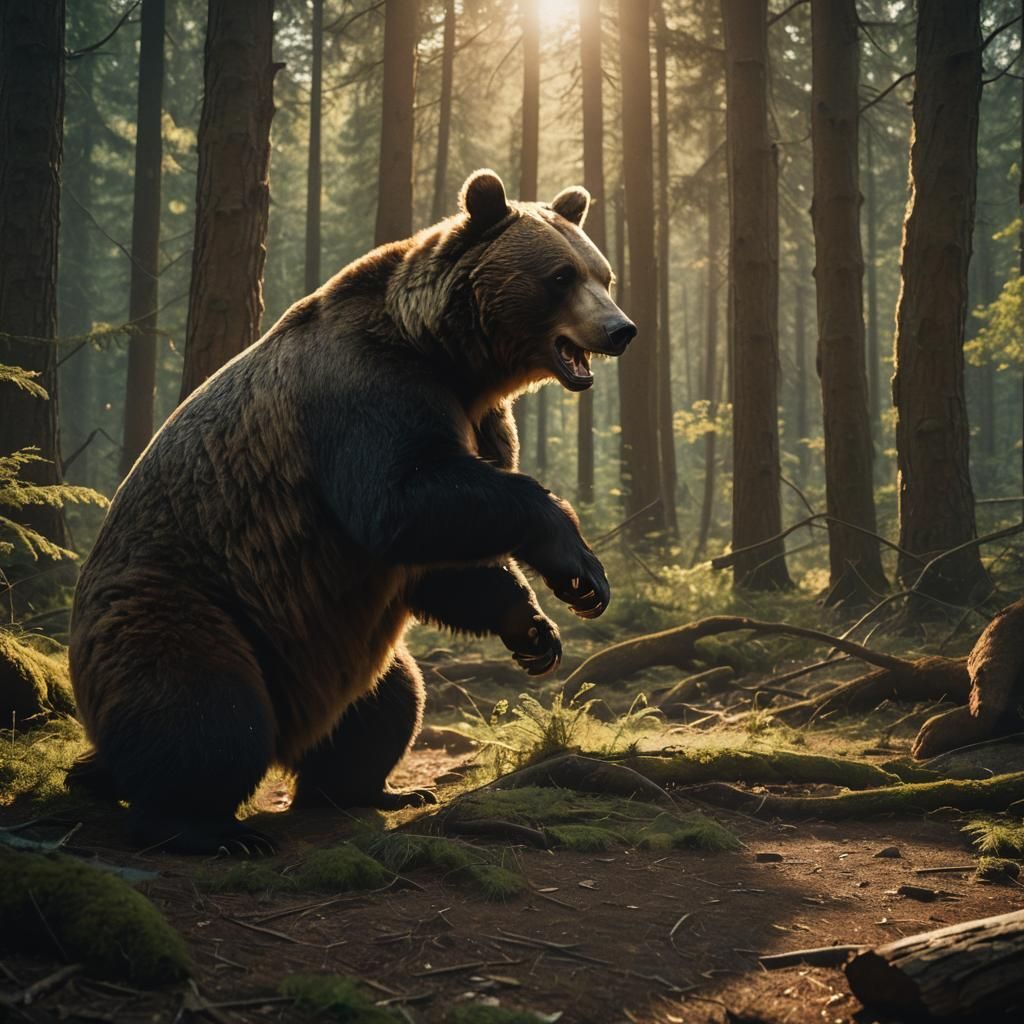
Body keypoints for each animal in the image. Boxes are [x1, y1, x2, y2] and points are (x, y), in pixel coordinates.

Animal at [66, 169, 637, 855]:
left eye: (602, 273)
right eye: (560, 276)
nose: (621, 330)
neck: (452, 359)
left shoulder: (482, 422)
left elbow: (444, 558)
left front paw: (537, 630)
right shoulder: (366, 392)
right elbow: (401, 502)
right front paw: (579, 564)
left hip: (325, 639)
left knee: (391, 700)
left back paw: (374, 788)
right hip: (187, 603)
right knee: (206, 710)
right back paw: (202, 825)